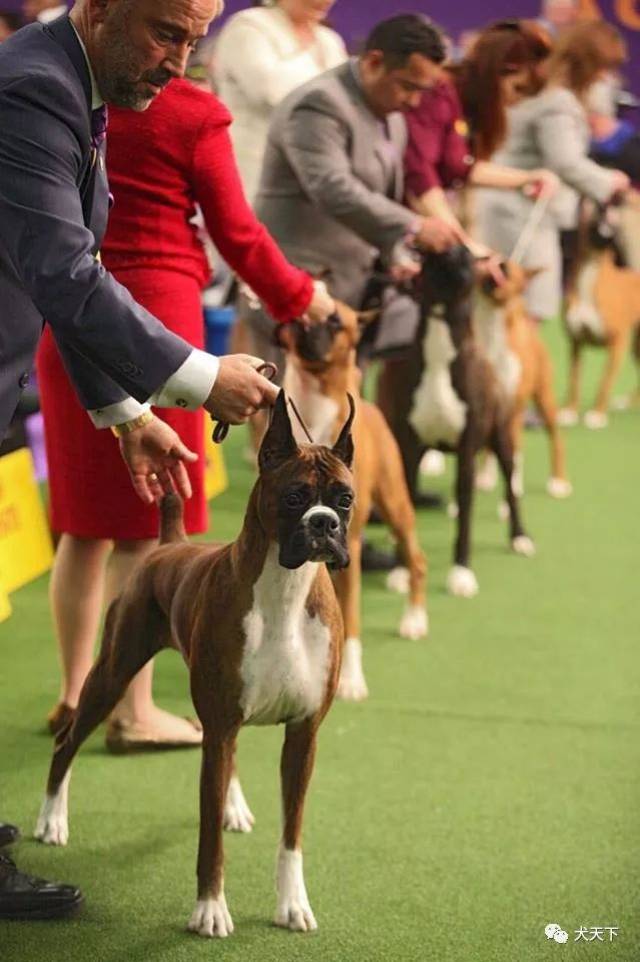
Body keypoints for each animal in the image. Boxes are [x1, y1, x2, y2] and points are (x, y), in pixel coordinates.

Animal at [35, 390, 356, 936]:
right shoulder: (223, 723)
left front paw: (292, 904)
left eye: (345, 499)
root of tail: (170, 546)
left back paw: (234, 806)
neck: (285, 591)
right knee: (66, 741)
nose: (324, 524)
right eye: (295, 496)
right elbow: (210, 841)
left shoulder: (301, 734)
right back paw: (52, 820)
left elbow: (291, 835)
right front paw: (209, 909)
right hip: (112, 673)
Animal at [282, 304, 428, 700]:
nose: (301, 317)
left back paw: (414, 619)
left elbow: (349, 621)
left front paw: (349, 679)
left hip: (397, 508)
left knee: (417, 560)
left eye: (334, 320)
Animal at [378, 244, 532, 596]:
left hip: (501, 437)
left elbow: (465, 523)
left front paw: (461, 573)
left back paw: (519, 536)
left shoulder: (466, 451)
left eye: (465, 252)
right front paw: (400, 570)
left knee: (510, 485)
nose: (449, 248)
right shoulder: (408, 449)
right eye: (426, 258)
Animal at [560, 200, 640, 428]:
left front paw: (597, 414)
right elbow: (573, 380)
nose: (610, 203)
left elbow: (604, 383)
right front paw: (570, 411)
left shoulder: (618, 344)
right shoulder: (576, 343)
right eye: (591, 202)